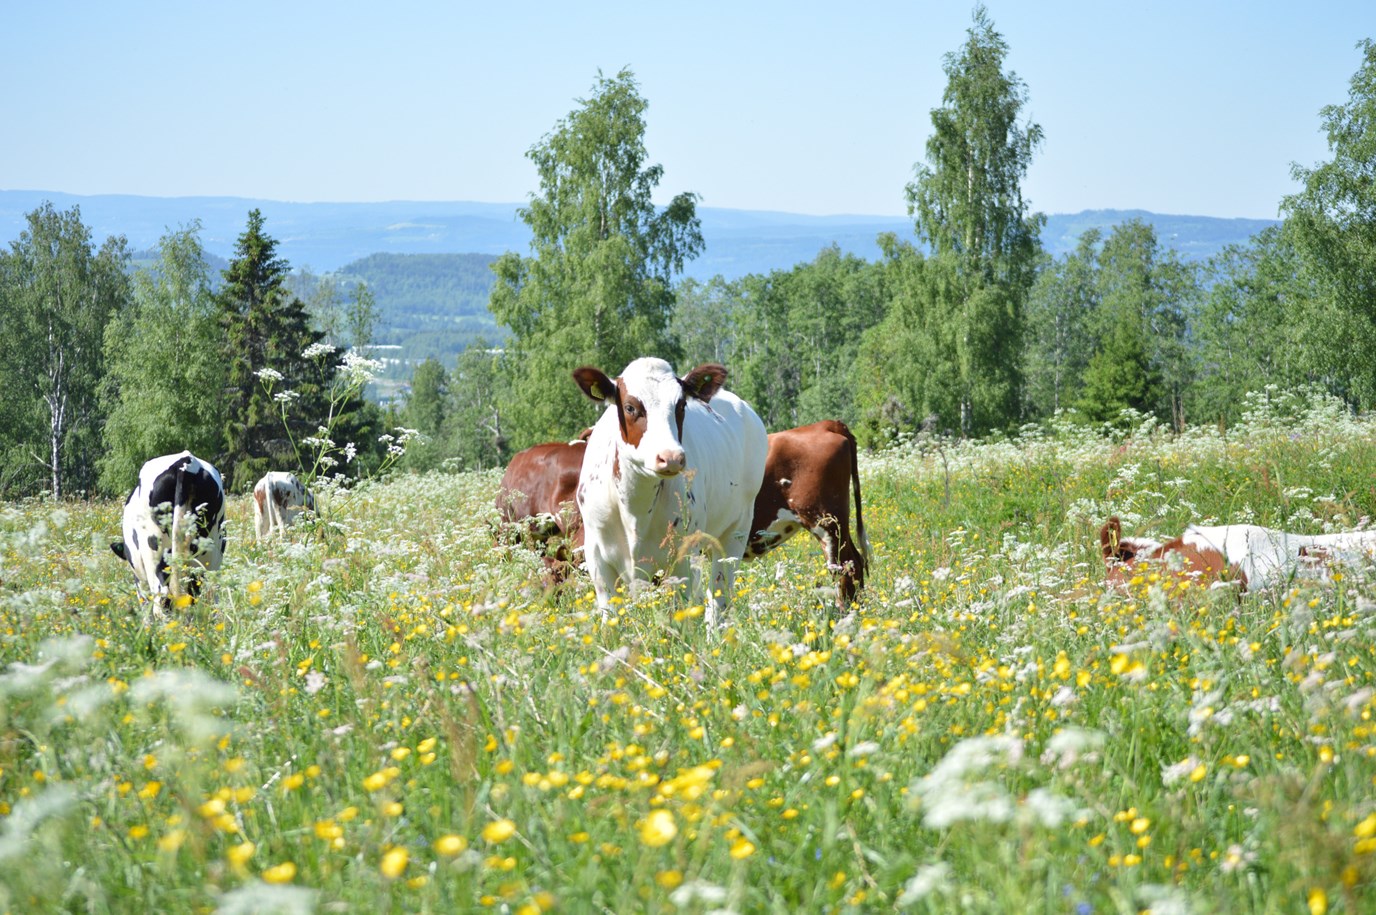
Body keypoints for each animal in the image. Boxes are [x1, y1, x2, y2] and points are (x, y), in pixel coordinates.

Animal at [569, 352, 770, 624]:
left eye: (681, 406)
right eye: (631, 407)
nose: (671, 457)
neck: (635, 508)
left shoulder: (682, 559)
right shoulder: (597, 558)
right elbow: (611, 619)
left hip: (735, 532)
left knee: (718, 599)